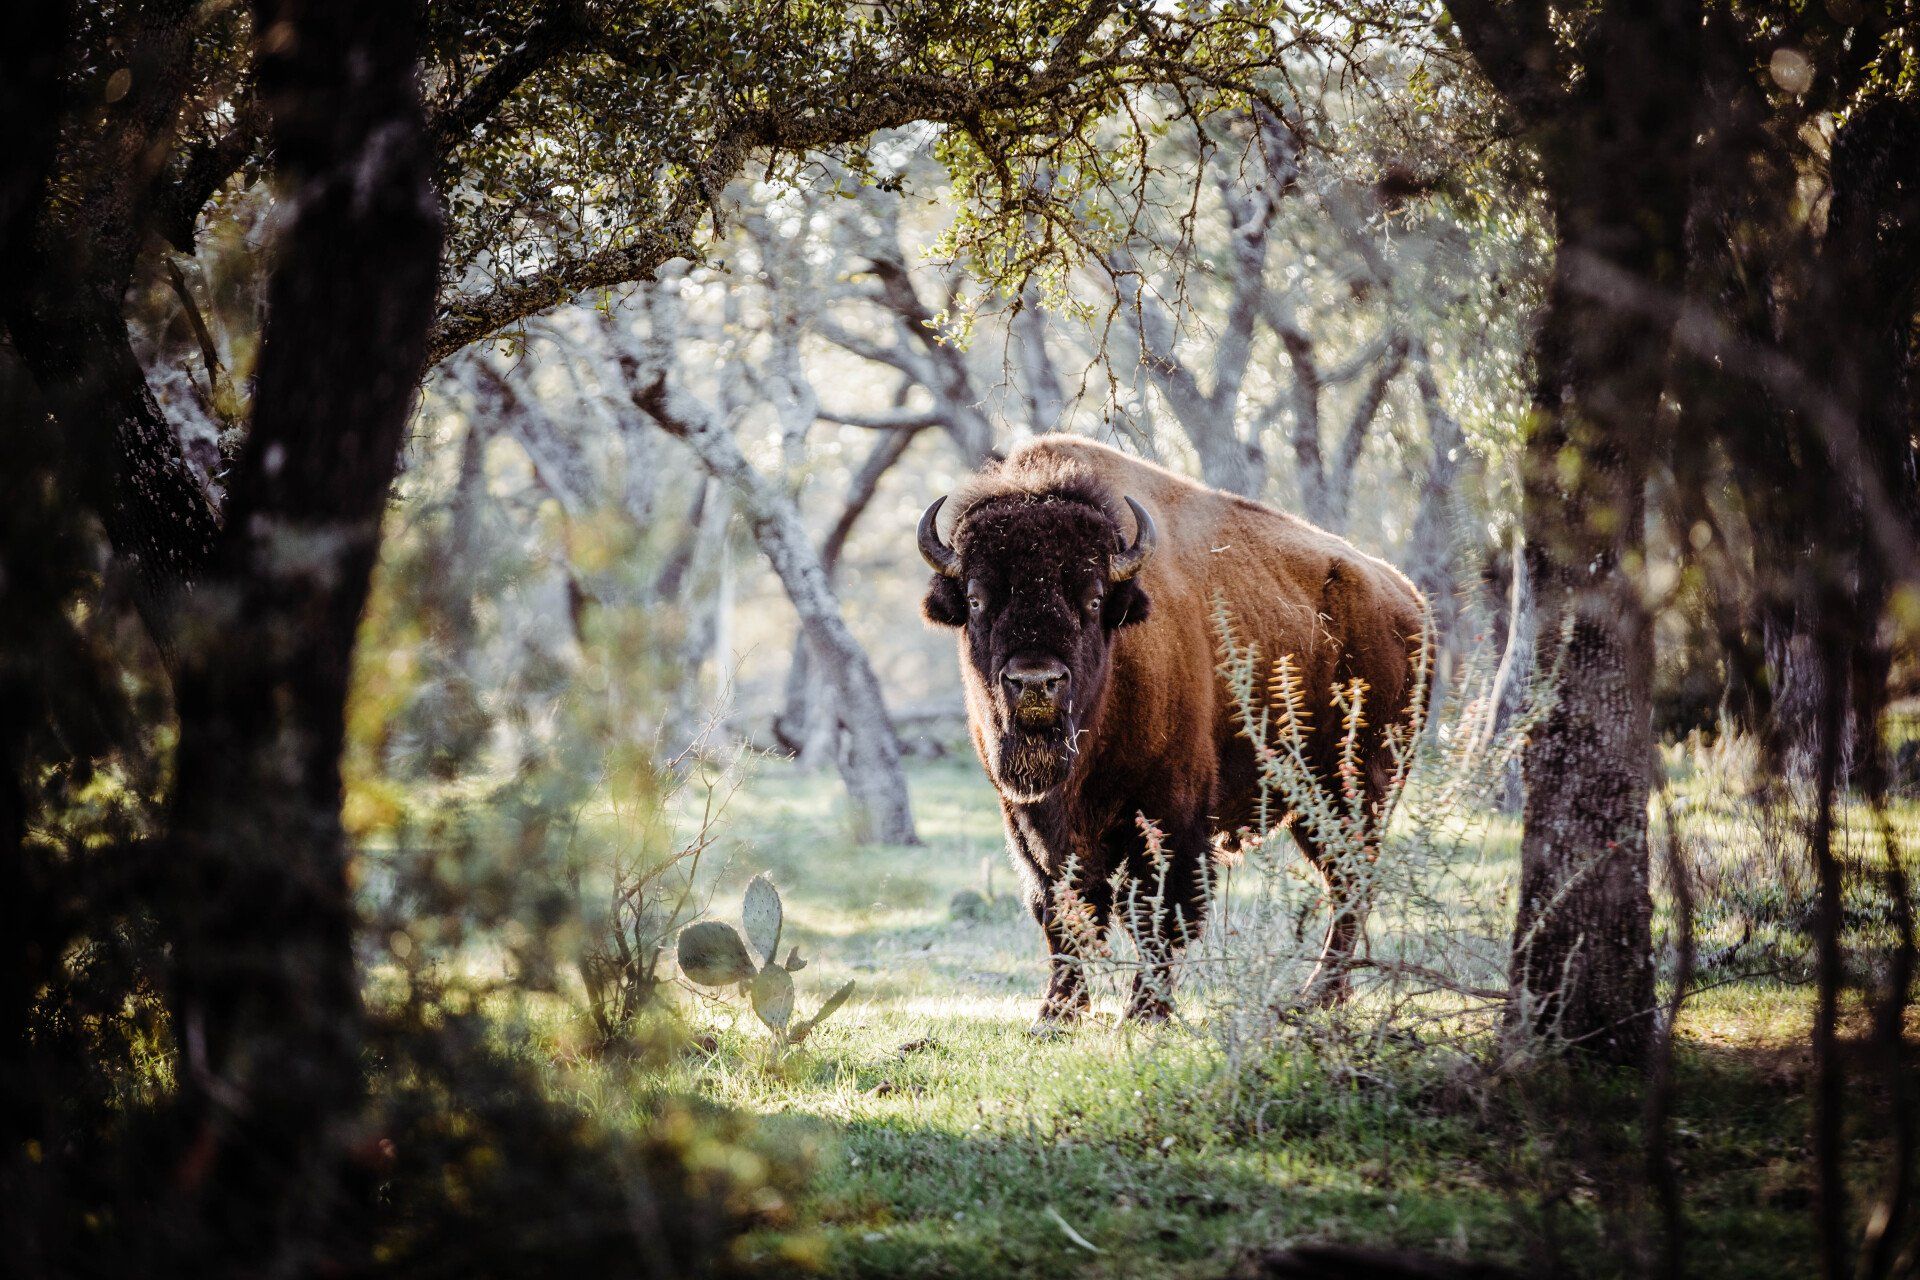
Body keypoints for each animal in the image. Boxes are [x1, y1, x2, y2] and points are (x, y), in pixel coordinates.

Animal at [919, 436, 1425, 1024]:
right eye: (977, 599)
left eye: (1093, 598)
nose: (1036, 682)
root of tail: (1408, 601)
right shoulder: (1029, 822)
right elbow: (1058, 908)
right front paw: (1057, 1014)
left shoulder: (1170, 809)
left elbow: (1158, 910)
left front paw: (1145, 1013)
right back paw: (1326, 995)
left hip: (1353, 789)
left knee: (1350, 880)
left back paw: (1315, 995)